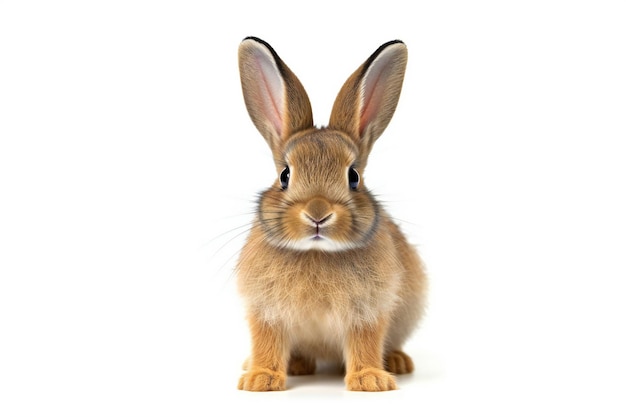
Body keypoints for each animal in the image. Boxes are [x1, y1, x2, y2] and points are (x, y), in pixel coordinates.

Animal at [236, 35, 426, 390]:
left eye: (353, 177)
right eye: (285, 175)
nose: (318, 213)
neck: (317, 252)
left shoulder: (368, 311)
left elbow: (365, 342)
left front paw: (369, 380)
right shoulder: (266, 312)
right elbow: (267, 342)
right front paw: (260, 379)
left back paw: (397, 362)